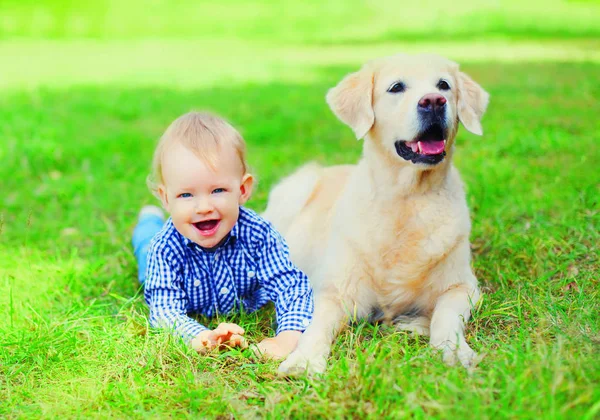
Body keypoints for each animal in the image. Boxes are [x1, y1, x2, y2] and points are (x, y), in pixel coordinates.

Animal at [264, 51, 490, 374]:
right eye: (396, 87)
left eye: (444, 85)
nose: (434, 101)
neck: (407, 199)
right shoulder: (335, 290)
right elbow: (316, 327)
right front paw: (304, 360)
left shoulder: (462, 286)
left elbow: (445, 315)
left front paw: (452, 348)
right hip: (297, 187)